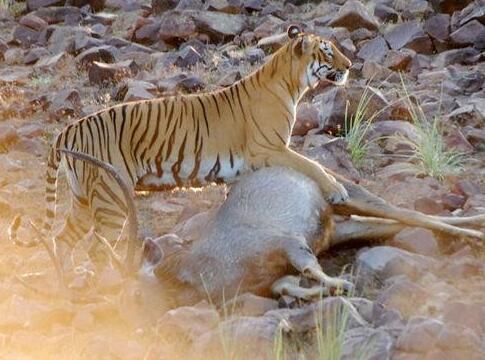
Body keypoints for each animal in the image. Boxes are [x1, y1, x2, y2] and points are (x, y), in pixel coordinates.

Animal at [10, 24, 352, 253]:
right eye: (328, 50)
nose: (349, 66)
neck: (290, 83)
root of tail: (70, 128)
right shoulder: (269, 148)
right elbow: (313, 165)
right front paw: (339, 191)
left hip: (83, 197)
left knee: (61, 240)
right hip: (111, 197)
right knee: (97, 250)